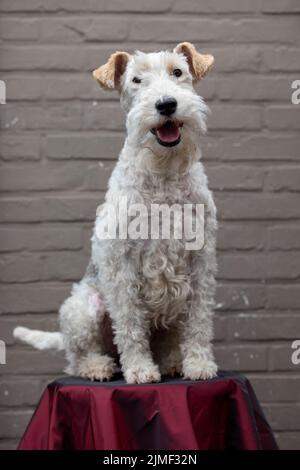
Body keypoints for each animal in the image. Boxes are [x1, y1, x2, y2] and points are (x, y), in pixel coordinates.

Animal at [14, 42, 218, 384]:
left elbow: (199, 320)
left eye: (178, 71)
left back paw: (172, 362)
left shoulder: (200, 260)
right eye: (136, 80)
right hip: (83, 310)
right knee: (79, 356)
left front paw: (199, 365)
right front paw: (140, 370)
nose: (166, 104)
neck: (163, 172)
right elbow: (131, 326)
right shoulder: (121, 264)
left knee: (169, 338)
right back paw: (99, 367)